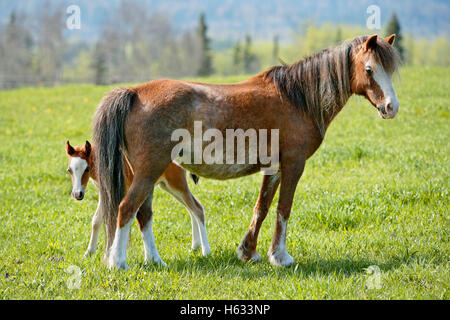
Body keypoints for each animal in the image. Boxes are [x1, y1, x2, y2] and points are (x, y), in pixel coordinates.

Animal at [65, 140, 211, 264]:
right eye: (69, 170)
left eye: (87, 169)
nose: (77, 194)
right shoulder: (104, 192)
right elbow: (96, 220)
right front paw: (89, 253)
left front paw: (109, 254)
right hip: (167, 186)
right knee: (191, 209)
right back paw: (195, 246)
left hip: (176, 184)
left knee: (197, 208)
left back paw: (206, 251)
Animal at [94, 34, 400, 270]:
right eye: (370, 69)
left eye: (391, 70)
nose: (391, 107)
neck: (297, 98)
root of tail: (135, 93)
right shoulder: (294, 164)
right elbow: (283, 209)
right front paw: (280, 257)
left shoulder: (274, 168)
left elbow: (262, 208)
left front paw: (248, 252)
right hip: (149, 172)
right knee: (126, 208)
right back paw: (118, 263)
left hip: (146, 174)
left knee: (143, 214)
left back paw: (155, 261)